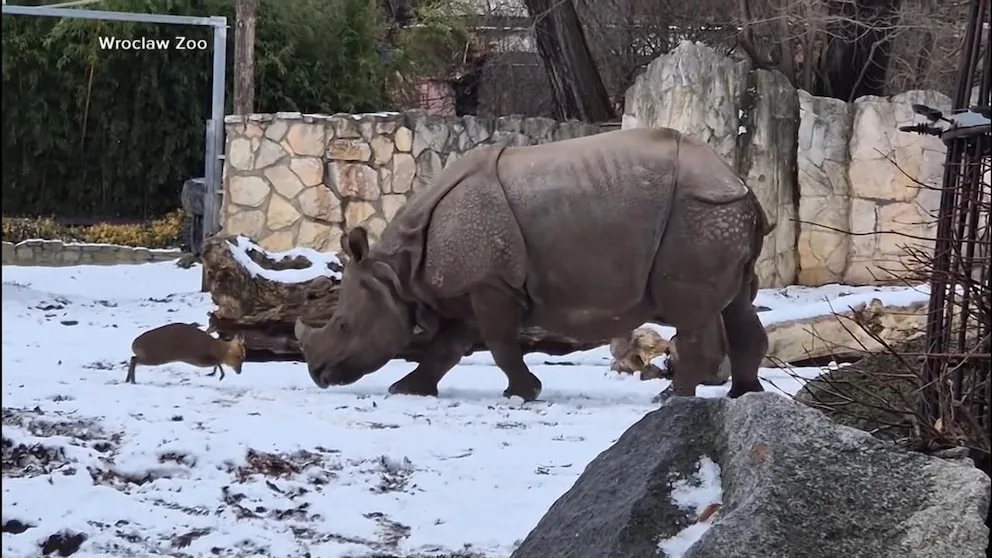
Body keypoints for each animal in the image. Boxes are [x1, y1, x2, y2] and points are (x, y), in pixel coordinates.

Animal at [295, 127, 773, 402]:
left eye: (342, 325)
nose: (317, 375)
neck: (397, 271)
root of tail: (741, 183)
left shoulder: (491, 283)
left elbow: (501, 344)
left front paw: (524, 394)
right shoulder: (470, 287)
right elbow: (448, 346)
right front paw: (407, 390)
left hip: (700, 212)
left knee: (691, 313)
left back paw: (673, 399)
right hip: (718, 214)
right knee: (737, 305)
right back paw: (743, 395)